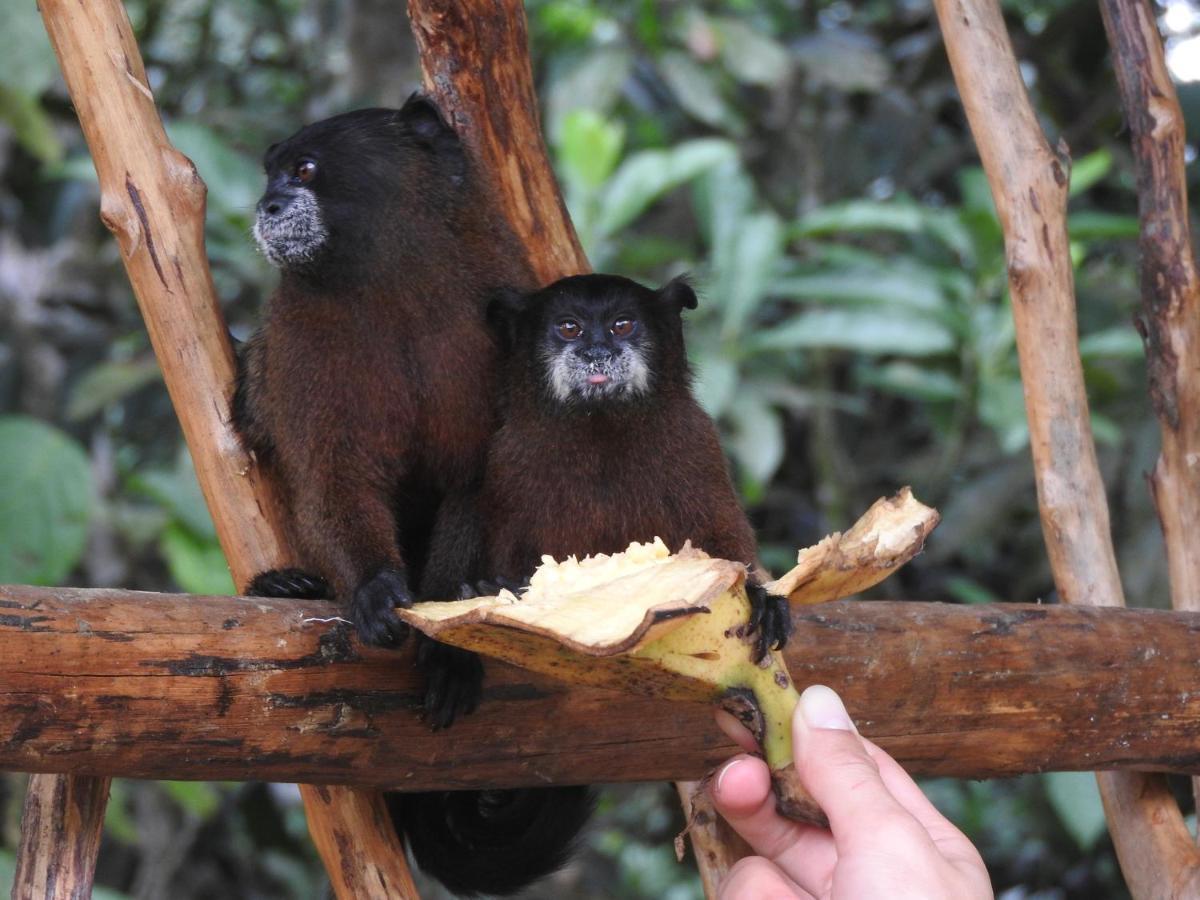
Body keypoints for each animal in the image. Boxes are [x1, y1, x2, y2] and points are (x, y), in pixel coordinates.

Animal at [231, 95, 588, 897]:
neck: (393, 279)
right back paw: (293, 585)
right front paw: (371, 587)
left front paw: (452, 638)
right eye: (271, 174)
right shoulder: (302, 337)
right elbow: (333, 473)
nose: (268, 205)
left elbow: (476, 478)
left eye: (303, 171)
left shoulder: (500, 314)